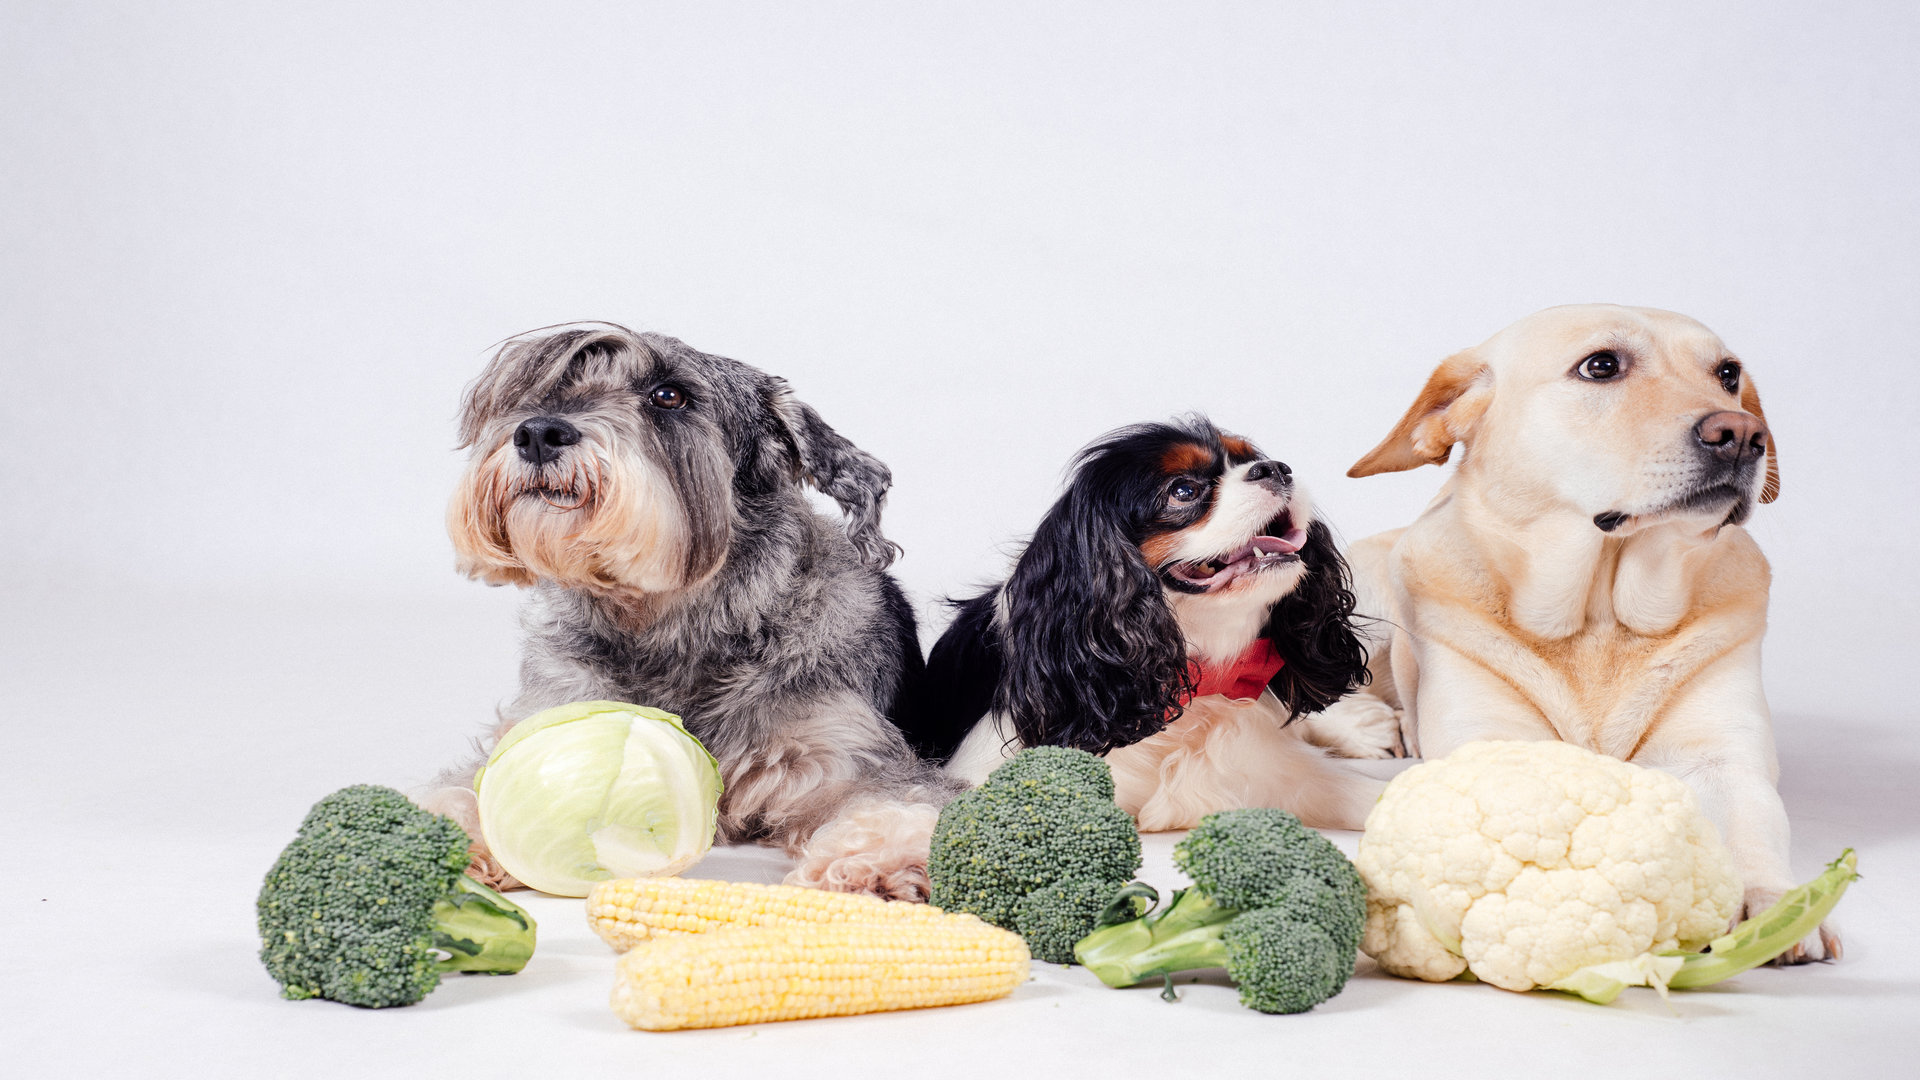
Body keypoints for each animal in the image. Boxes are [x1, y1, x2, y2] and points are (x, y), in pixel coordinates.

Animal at [422, 322, 960, 895]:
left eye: (669, 396)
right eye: (547, 389)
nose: (537, 433)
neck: (669, 627)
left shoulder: (844, 756)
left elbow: (895, 802)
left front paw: (877, 864)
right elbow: (471, 788)